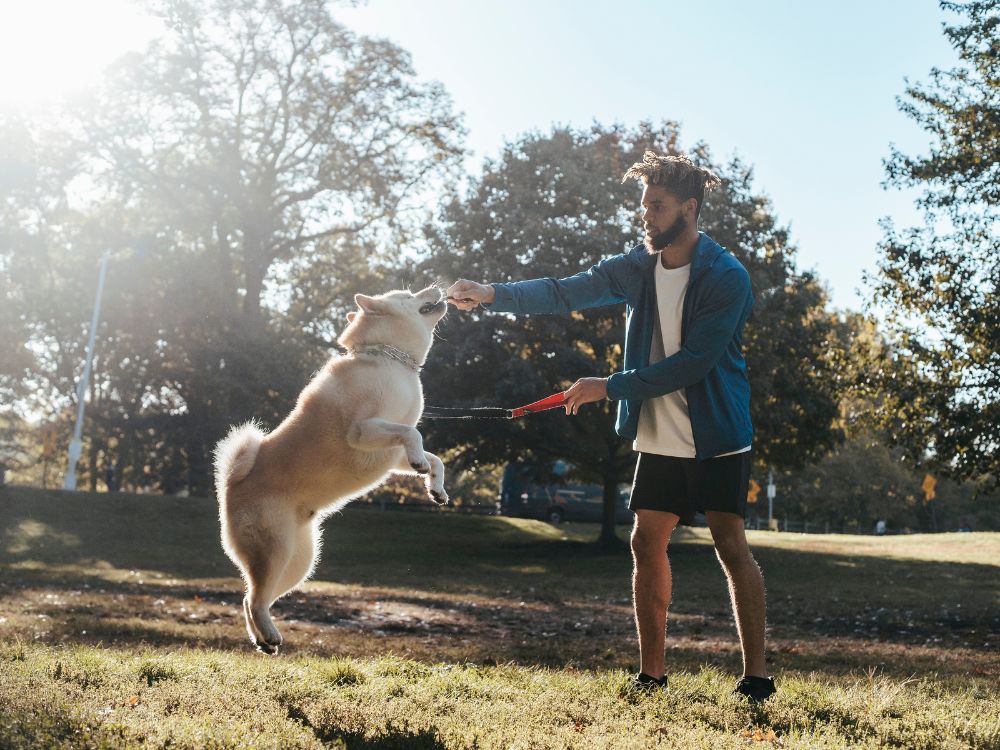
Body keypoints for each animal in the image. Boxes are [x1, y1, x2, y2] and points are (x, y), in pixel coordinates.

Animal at [215, 286, 450, 652]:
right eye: (409, 294)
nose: (437, 288)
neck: (391, 359)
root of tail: (231, 486)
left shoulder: (391, 452)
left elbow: (432, 454)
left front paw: (435, 486)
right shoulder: (364, 430)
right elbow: (414, 434)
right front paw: (421, 464)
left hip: (300, 562)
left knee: (251, 598)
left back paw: (263, 638)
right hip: (277, 550)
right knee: (254, 598)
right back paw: (269, 634)